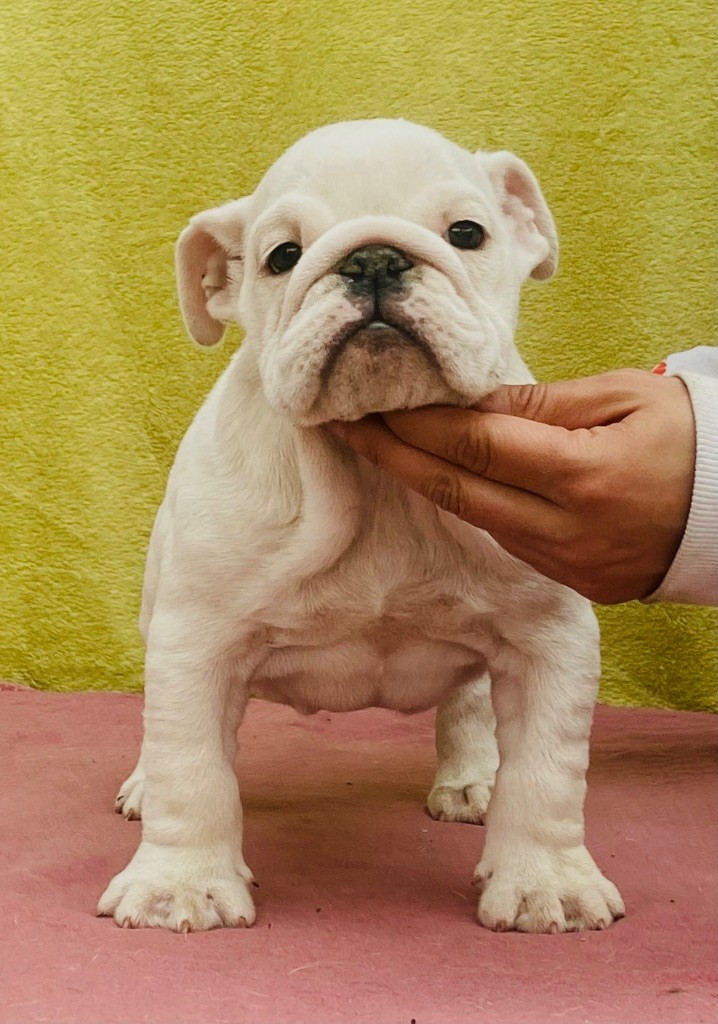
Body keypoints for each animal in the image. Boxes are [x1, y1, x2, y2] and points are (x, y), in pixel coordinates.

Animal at [97, 119, 622, 937]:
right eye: (283, 257)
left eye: (467, 234)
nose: (373, 257)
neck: (374, 485)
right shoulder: (196, 642)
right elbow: (193, 767)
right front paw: (179, 884)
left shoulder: (551, 638)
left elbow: (545, 775)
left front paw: (546, 883)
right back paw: (146, 786)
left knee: (472, 703)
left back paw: (474, 776)